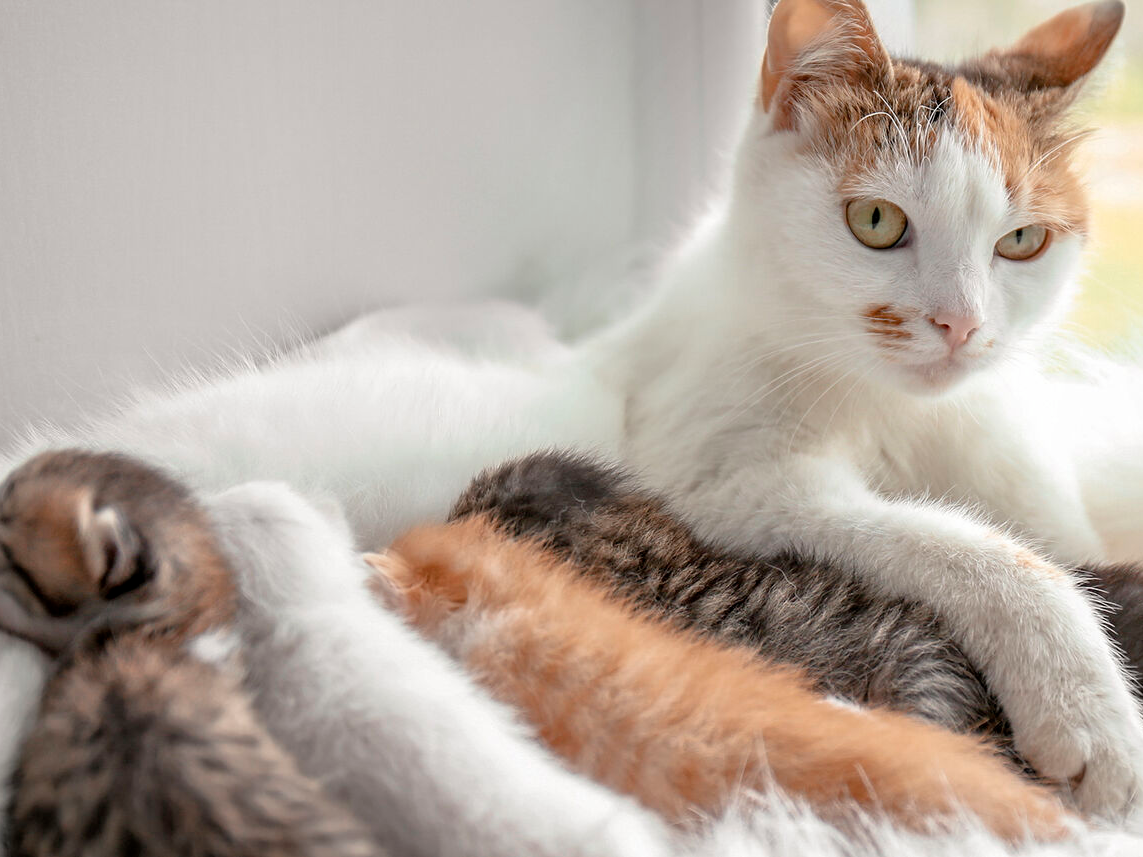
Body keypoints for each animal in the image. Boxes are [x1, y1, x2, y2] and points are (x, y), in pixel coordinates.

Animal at [589, 0, 1143, 813]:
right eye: (876, 221)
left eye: (1022, 240)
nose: (961, 324)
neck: (898, 408)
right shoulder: (714, 469)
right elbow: (969, 547)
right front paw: (1088, 707)